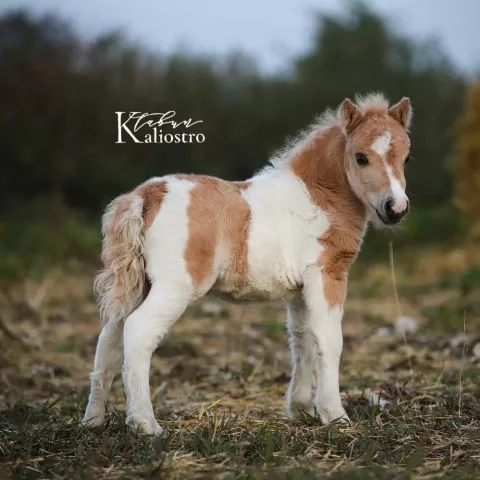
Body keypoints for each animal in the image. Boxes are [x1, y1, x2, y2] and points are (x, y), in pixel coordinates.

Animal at [83, 92, 412, 434]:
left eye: (407, 159)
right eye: (360, 157)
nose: (396, 208)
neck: (319, 199)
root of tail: (146, 195)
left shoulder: (300, 291)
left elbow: (302, 340)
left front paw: (302, 408)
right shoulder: (326, 275)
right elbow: (329, 340)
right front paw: (335, 416)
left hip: (138, 285)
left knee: (110, 336)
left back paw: (93, 420)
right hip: (174, 287)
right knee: (138, 331)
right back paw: (146, 425)